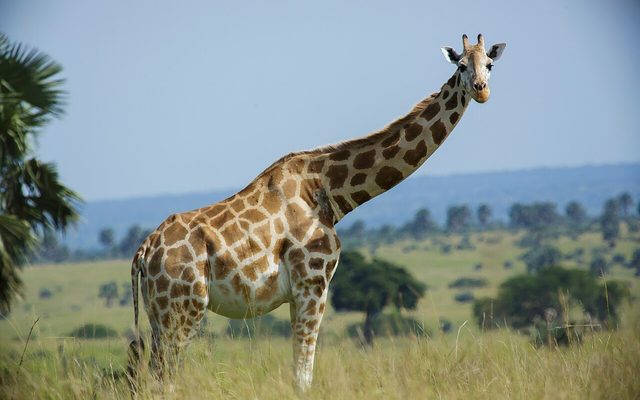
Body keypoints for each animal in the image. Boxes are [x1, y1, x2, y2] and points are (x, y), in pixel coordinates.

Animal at [127, 33, 506, 391]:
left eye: (489, 64)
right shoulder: (314, 282)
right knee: (165, 378)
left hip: (160, 315)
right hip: (184, 309)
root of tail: (143, 253)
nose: (481, 91)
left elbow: (300, 370)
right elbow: (303, 374)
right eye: (461, 66)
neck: (330, 192)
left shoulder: (299, 292)